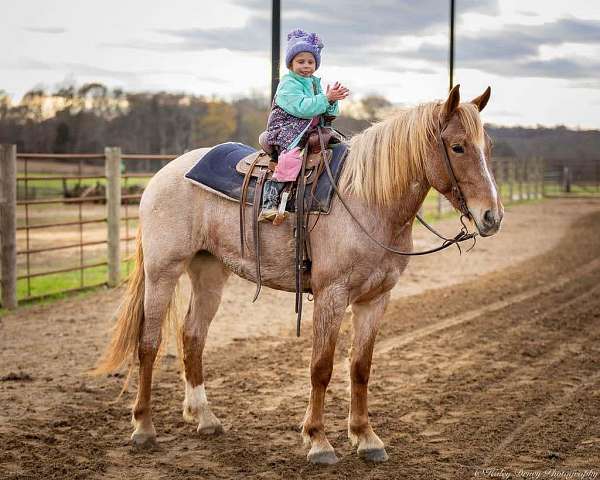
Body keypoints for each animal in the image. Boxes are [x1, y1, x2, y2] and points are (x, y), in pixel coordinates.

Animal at [96, 85, 504, 464]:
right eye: (457, 147)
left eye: (488, 146)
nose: (492, 217)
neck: (368, 200)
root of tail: (165, 173)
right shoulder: (331, 295)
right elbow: (321, 367)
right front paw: (318, 440)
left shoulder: (375, 299)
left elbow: (360, 367)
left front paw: (366, 437)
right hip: (163, 271)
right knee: (148, 343)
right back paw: (144, 427)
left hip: (209, 272)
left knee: (192, 336)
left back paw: (204, 417)